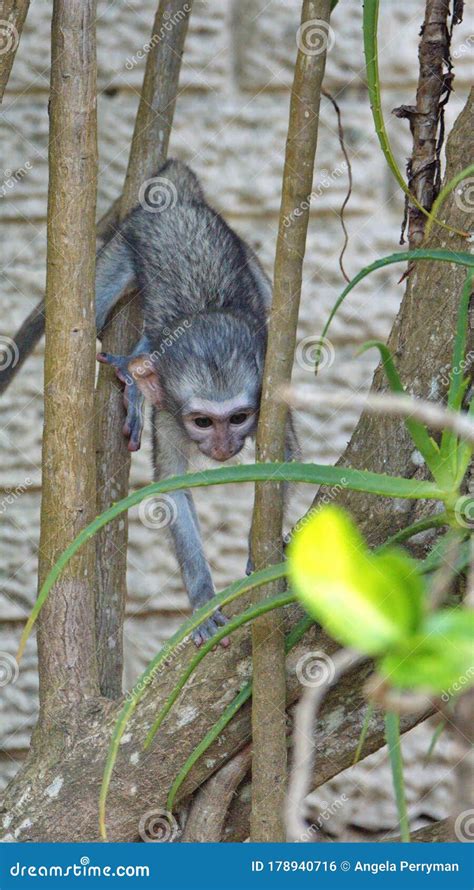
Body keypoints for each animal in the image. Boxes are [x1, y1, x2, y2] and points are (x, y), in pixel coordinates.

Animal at [1, 160, 298, 640]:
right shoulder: (171, 415)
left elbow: (284, 454)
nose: (223, 448)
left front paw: (260, 554)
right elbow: (171, 486)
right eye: (203, 421)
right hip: (125, 244)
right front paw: (203, 600)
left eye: (238, 418)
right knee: (92, 309)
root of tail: (176, 200)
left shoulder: (272, 392)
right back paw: (133, 370)